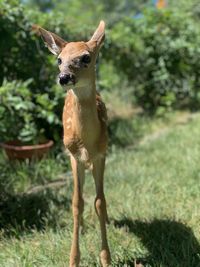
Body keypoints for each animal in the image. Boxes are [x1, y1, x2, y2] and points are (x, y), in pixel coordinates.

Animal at [34, 21, 110, 267]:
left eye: (86, 57)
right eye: (59, 59)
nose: (63, 77)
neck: (87, 141)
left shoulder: (101, 154)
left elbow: (100, 201)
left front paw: (106, 257)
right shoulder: (74, 157)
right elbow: (76, 203)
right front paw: (74, 258)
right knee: (81, 198)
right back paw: (84, 228)